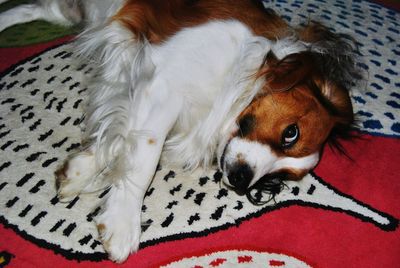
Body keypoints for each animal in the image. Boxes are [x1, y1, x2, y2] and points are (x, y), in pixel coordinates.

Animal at [0, 0, 362, 262]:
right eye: (291, 133)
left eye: (282, 176)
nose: (242, 180)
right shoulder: (162, 83)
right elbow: (145, 157)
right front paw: (122, 220)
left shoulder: (136, 84)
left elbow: (119, 140)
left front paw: (79, 172)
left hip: (63, 12)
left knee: (26, 10)